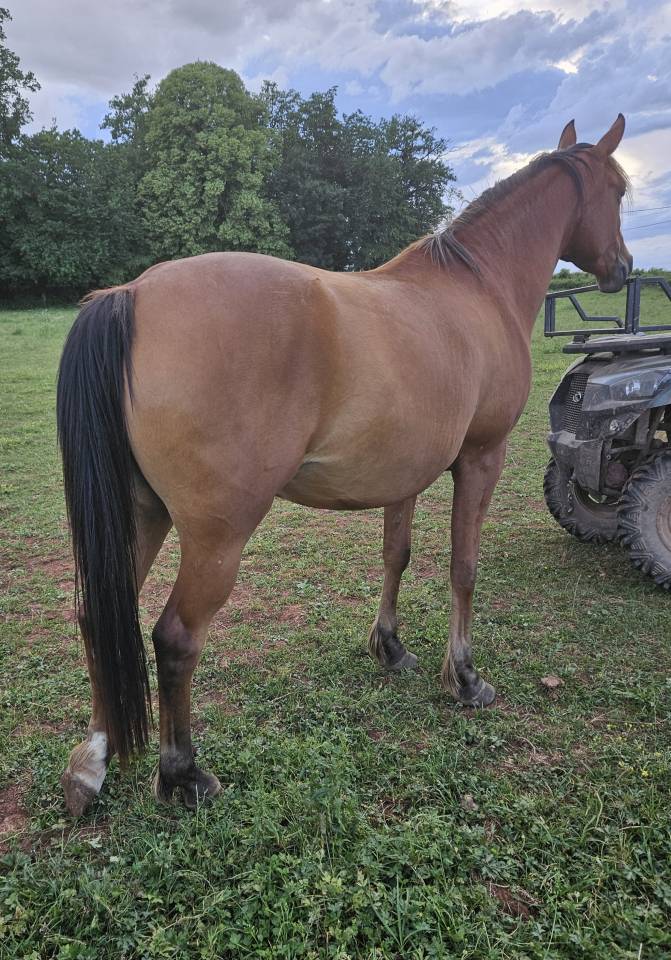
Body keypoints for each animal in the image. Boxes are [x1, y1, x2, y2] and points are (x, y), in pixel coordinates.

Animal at [57, 115, 632, 814]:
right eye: (619, 191)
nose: (625, 267)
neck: (477, 287)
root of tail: (133, 295)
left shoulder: (405, 473)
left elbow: (397, 556)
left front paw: (391, 647)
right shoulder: (480, 459)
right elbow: (463, 568)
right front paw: (465, 678)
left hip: (141, 515)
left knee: (97, 618)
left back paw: (91, 764)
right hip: (216, 536)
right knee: (174, 638)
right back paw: (183, 773)